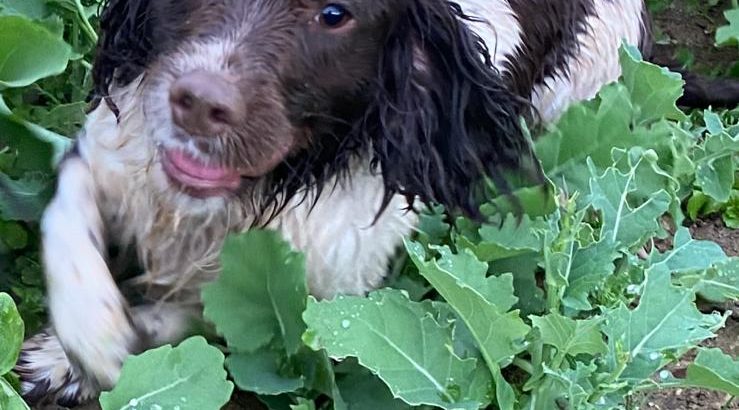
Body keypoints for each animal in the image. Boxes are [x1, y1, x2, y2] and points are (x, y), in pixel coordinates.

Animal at [10, 0, 736, 406]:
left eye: (335, 14)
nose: (197, 102)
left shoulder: (322, 287)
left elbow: (193, 314)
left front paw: (109, 348)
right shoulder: (117, 151)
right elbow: (67, 222)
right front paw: (81, 344)